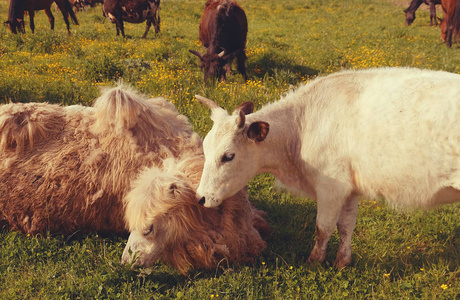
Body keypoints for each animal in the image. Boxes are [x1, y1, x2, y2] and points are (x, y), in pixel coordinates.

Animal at [195, 68, 460, 270]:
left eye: (228, 156)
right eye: (205, 148)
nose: (201, 198)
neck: (302, 125)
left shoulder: (331, 187)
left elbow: (323, 227)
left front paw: (314, 261)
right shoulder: (349, 189)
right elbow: (345, 226)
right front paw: (342, 262)